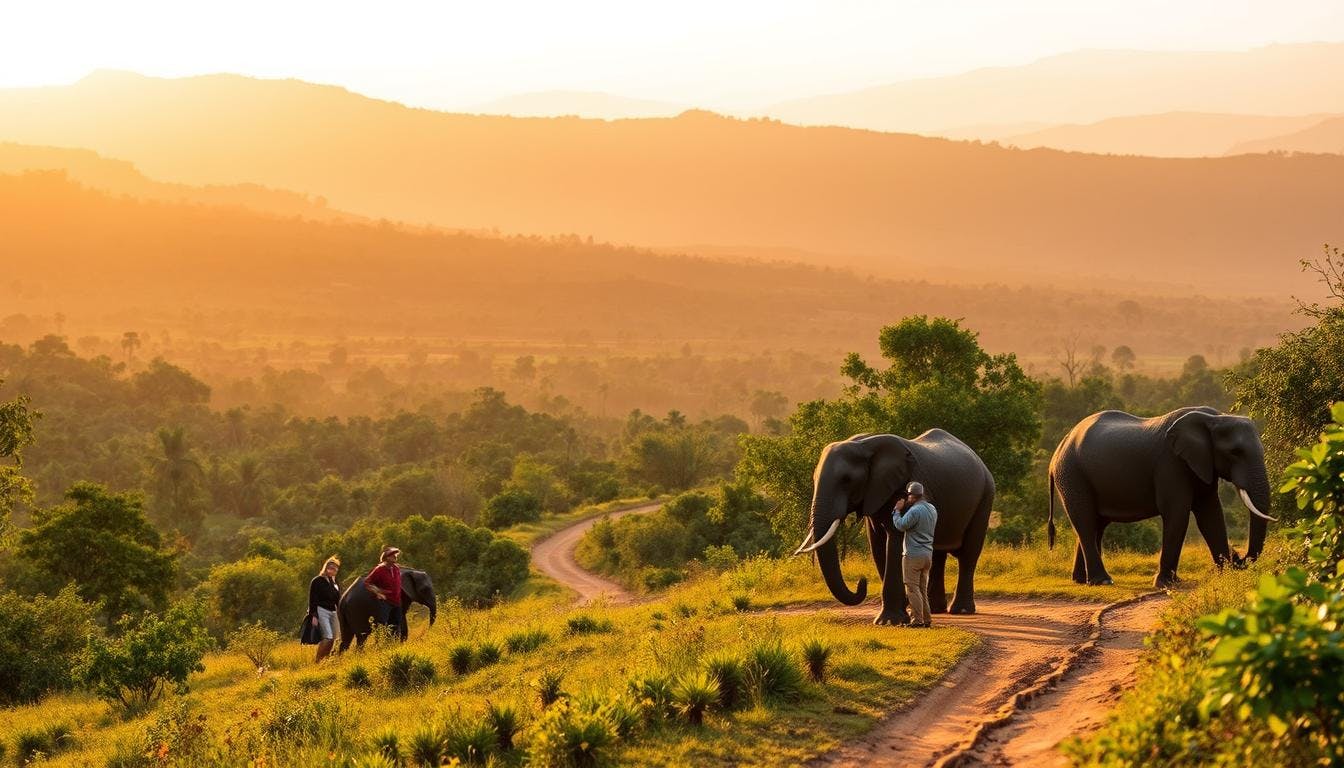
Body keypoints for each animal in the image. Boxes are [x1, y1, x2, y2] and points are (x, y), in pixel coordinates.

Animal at [795, 431, 995, 625]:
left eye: (847, 479)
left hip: (986, 496)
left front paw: (890, 621)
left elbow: (896, 539)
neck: (864, 443)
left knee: (968, 555)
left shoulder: (903, 486)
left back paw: (961, 611)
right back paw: (935, 610)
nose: (862, 581)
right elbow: (877, 543)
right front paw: (901, 612)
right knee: (937, 555)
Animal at [1048, 407, 1276, 588]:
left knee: (1096, 524)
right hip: (1072, 475)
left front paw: (1225, 575)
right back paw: (1102, 581)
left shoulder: (1201, 464)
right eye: (1235, 452)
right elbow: (1177, 514)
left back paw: (1080, 580)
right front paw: (1167, 584)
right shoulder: (1170, 464)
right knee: (1085, 522)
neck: (1215, 418)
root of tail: (1057, 451)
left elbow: (1211, 515)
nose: (1238, 557)